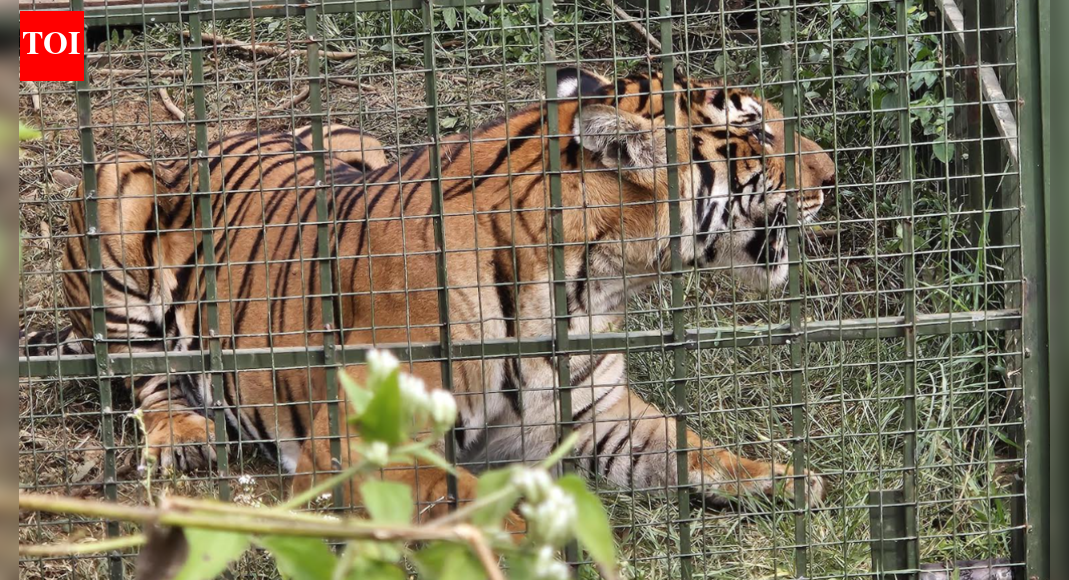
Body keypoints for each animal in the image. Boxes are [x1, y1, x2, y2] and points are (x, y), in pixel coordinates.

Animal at [20, 66, 836, 524]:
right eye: (757, 133)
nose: (832, 176)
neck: (594, 280)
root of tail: (208, 142)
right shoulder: (364, 443)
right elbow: (468, 511)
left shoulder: (597, 415)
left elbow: (693, 448)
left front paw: (789, 478)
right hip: (116, 182)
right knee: (140, 371)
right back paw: (184, 436)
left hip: (355, 139)